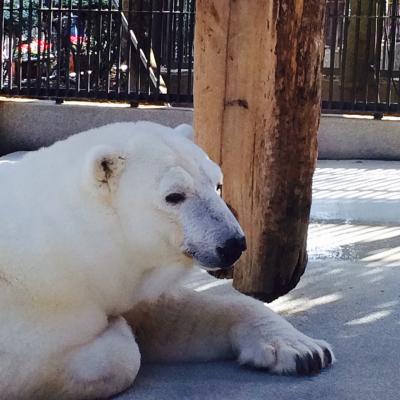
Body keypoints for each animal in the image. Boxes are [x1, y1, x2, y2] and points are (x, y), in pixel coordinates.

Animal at [0, 122, 332, 400]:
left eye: (217, 184)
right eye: (174, 196)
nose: (233, 243)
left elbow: (175, 314)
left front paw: (304, 351)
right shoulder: (35, 314)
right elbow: (119, 354)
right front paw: (116, 328)